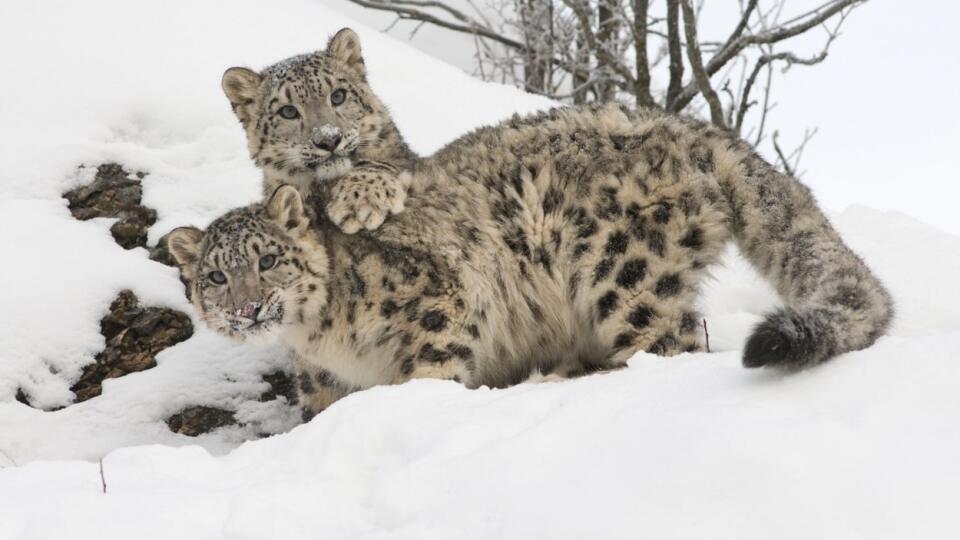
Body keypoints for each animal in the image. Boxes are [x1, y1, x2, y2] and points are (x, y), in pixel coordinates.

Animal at [169, 93, 896, 416]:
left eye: (268, 261)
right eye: (215, 276)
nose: (248, 308)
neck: (322, 337)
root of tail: (683, 124)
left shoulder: (437, 304)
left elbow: (433, 370)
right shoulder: (327, 382)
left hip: (623, 272)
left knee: (672, 344)